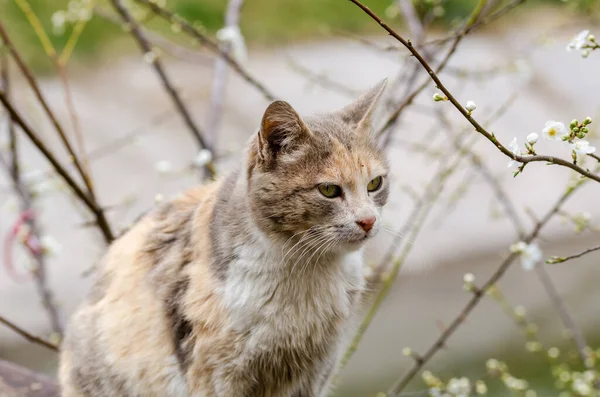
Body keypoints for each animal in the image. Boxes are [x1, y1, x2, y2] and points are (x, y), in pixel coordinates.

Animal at [58, 78, 390, 396]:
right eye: (329, 190)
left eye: (375, 184)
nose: (368, 220)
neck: (306, 273)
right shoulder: (216, 374)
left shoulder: (315, 373)